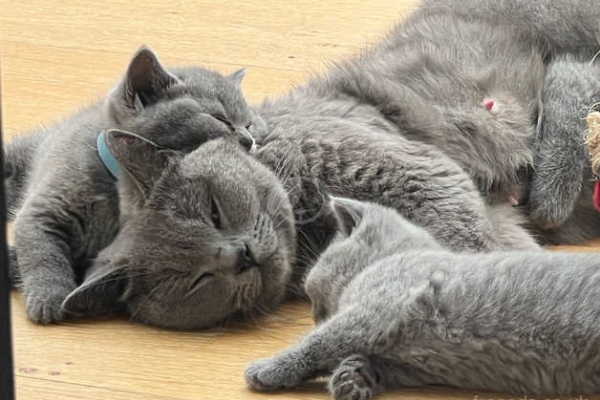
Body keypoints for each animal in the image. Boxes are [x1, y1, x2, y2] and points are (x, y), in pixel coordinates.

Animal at [5, 45, 262, 324]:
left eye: (248, 124)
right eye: (220, 118)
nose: (250, 140)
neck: (118, 189)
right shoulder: (47, 204)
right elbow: (42, 249)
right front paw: (48, 297)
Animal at [246, 198, 600, 398]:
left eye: (311, 295)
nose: (316, 316)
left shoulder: (375, 310)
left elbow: (319, 343)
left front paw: (268, 369)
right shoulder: (406, 362)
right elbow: (370, 361)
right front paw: (352, 378)